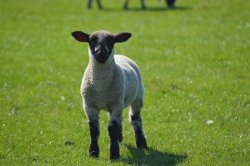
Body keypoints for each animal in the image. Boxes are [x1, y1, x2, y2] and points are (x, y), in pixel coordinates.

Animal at [71, 29, 147, 160]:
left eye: (111, 41)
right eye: (91, 40)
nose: (101, 52)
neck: (101, 88)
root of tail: (120, 55)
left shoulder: (116, 105)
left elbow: (112, 129)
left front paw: (114, 154)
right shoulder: (89, 105)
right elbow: (94, 129)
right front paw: (93, 153)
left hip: (137, 97)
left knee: (135, 118)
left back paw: (141, 143)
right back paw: (120, 138)